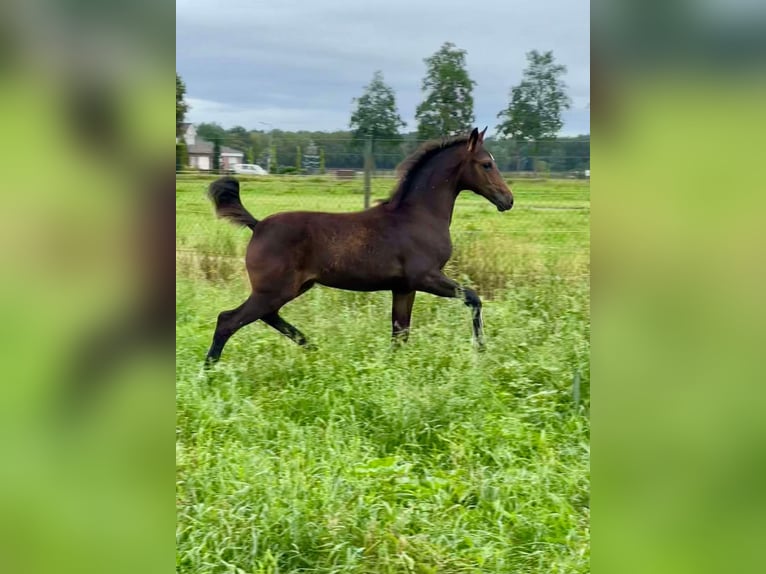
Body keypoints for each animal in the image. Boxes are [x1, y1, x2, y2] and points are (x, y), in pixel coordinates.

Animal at [207, 128, 512, 366]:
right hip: (274, 290)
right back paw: (208, 374)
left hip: (290, 288)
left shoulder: (404, 288)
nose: (508, 199)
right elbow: (473, 297)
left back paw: (314, 347)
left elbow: (400, 333)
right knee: (228, 320)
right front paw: (481, 351)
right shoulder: (425, 277)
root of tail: (257, 225)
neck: (418, 216)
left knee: (266, 317)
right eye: (486, 164)